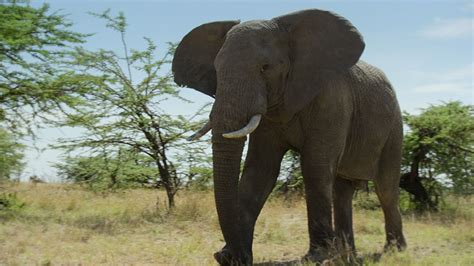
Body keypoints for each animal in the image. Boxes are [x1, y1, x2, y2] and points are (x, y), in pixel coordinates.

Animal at [172, 7, 406, 264]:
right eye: (216, 70)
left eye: (265, 67)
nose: (241, 258)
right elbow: (260, 171)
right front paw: (228, 257)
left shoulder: (332, 99)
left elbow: (315, 167)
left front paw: (318, 256)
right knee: (342, 191)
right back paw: (347, 254)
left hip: (394, 128)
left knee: (386, 189)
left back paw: (394, 250)